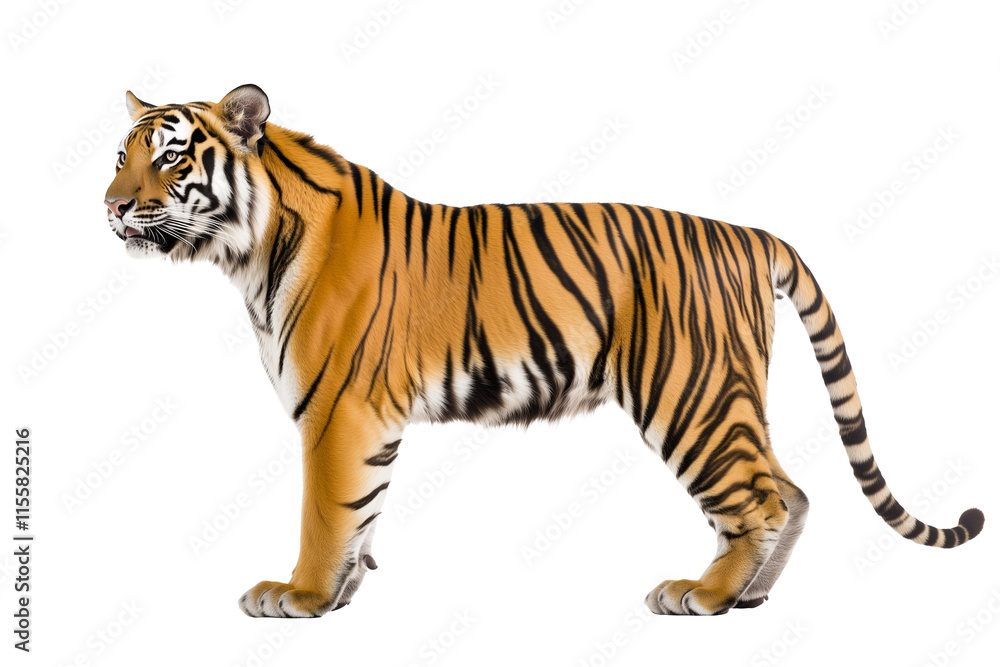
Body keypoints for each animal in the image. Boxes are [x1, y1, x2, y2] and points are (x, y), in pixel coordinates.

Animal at [104, 84, 984, 618]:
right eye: (122, 154)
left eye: (172, 156)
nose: (110, 205)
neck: (246, 250)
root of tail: (749, 231)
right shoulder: (366, 421)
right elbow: (363, 513)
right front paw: (343, 592)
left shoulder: (337, 412)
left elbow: (327, 512)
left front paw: (302, 594)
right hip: (730, 393)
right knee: (792, 491)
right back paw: (745, 597)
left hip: (691, 393)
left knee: (762, 498)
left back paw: (700, 595)